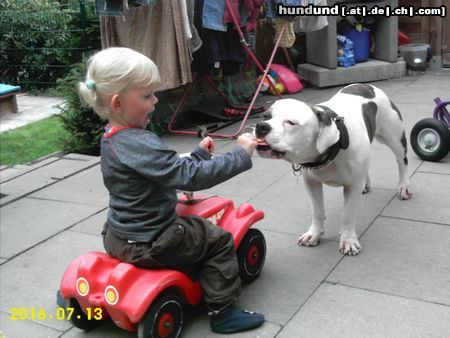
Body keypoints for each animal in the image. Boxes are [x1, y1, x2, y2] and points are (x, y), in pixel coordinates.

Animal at [256, 84, 412, 256]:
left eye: (291, 122)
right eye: (265, 116)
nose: (261, 126)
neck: (330, 149)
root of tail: (368, 86)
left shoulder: (352, 187)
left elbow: (347, 216)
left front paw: (348, 239)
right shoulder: (312, 184)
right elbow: (317, 212)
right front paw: (314, 234)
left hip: (394, 138)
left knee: (402, 161)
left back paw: (403, 187)